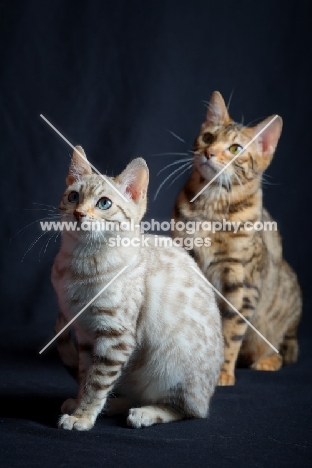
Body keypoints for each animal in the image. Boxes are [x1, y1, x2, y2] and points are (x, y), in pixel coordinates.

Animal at [52, 147, 224, 432]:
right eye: (73, 196)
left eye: (104, 203)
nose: (78, 214)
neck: (80, 262)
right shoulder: (86, 336)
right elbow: (86, 376)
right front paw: (79, 405)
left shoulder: (115, 337)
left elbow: (96, 383)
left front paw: (82, 416)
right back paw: (116, 405)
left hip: (174, 370)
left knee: (188, 410)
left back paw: (144, 413)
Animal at [172, 90, 302, 384]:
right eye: (208, 137)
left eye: (235, 149)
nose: (209, 153)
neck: (211, 208)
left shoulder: (242, 284)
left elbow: (230, 332)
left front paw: (222, 372)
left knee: (283, 350)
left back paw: (267, 361)